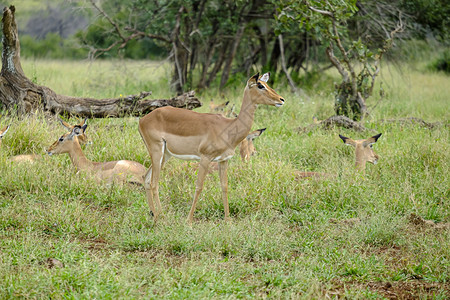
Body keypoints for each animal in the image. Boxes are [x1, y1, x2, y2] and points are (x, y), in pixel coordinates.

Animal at [139, 72, 284, 223]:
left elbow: (224, 186)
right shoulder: (205, 157)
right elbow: (199, 186)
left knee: (146, 178)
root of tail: (143, 120)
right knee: (154, 183)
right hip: (157, 151)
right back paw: (162, 217)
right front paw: (189, 221)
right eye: (260, 85)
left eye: (267, 84)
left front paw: (228, 220)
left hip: (165, 155)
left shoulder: (223, 160)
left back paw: (155, 216)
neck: (228, 127)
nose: (281, 99)